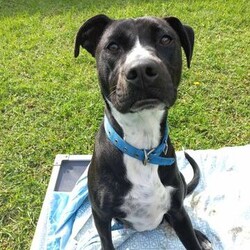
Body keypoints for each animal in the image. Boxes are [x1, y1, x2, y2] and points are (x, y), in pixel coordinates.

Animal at [74, 14, 213, 249]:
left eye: (166, 39)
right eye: (112, 46)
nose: (141, 70)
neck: (143, 146)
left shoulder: (177, 210)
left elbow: (190, 238)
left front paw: (196, 237)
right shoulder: (100, 217)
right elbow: (106, 241)